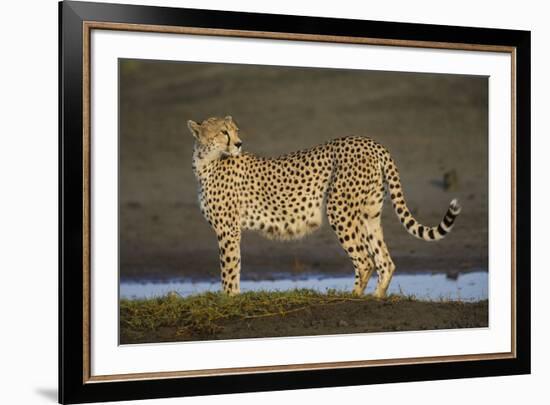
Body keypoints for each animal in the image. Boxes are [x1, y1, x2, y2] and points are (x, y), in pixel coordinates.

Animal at [189, 115, 462, 296]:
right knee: (385, 261)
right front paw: (233, 298)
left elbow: (229, 269)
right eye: (223, 132)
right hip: (369, 214)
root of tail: (371, 141)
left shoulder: (227, 230)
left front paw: (229, 300)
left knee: (365, 260)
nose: (239, 143)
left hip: (338, 210)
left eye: (234, 130)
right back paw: (376, 298)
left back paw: (352, 298)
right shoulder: (230, 230)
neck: (205, 162)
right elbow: (234, 267)